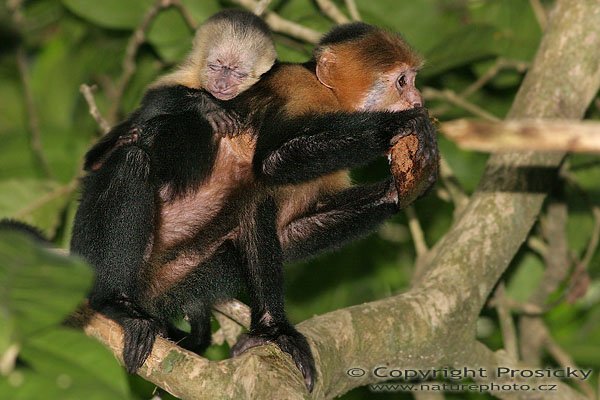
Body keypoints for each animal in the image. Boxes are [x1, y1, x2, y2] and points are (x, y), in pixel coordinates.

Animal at [84, 9, 276, 172]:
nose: (221, 85)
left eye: (238, 73)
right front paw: (209, 106)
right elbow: (152, 102)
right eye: (214, 67)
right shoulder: (191, 72)